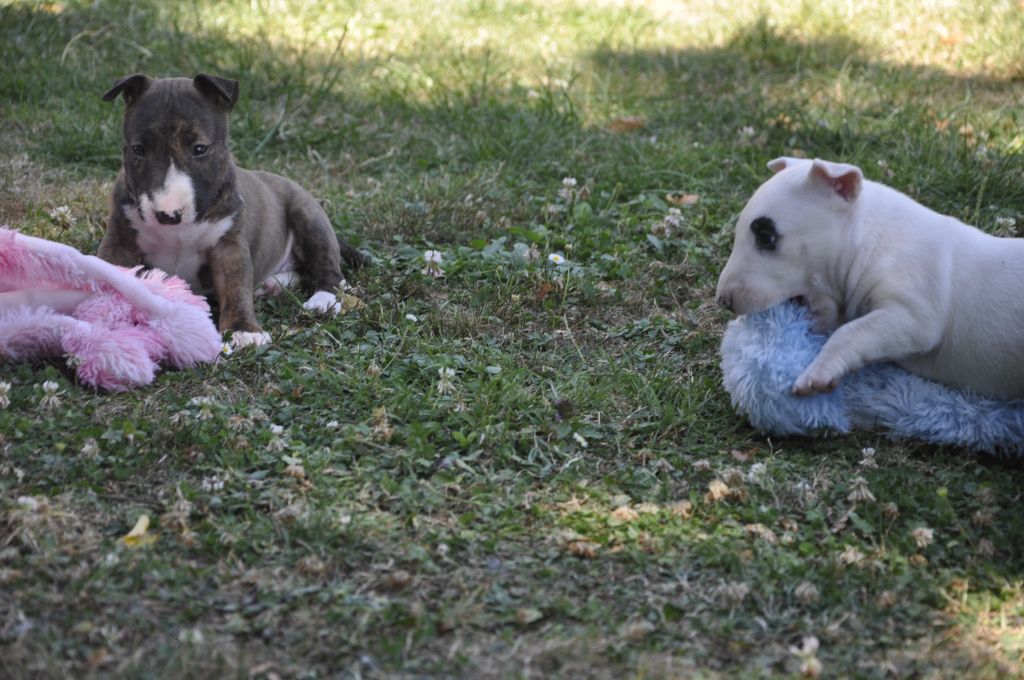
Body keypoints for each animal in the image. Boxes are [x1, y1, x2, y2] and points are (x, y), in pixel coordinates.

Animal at [98, 73, 366, 347]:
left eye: (200, 149)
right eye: (138, 149)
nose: (168, 215)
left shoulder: (229, 245)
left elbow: (235, 288)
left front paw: (243, 330)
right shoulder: (120, 241)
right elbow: (105, 275)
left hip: (309, 216)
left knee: (331, 272)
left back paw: (321, 301)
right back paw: (271, 285)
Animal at [716, 157, 1024, 399]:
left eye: (766, 237)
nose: (723, 301)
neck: (870, 238)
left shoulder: (914, 315)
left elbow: (850, 332)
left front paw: (818, 372)